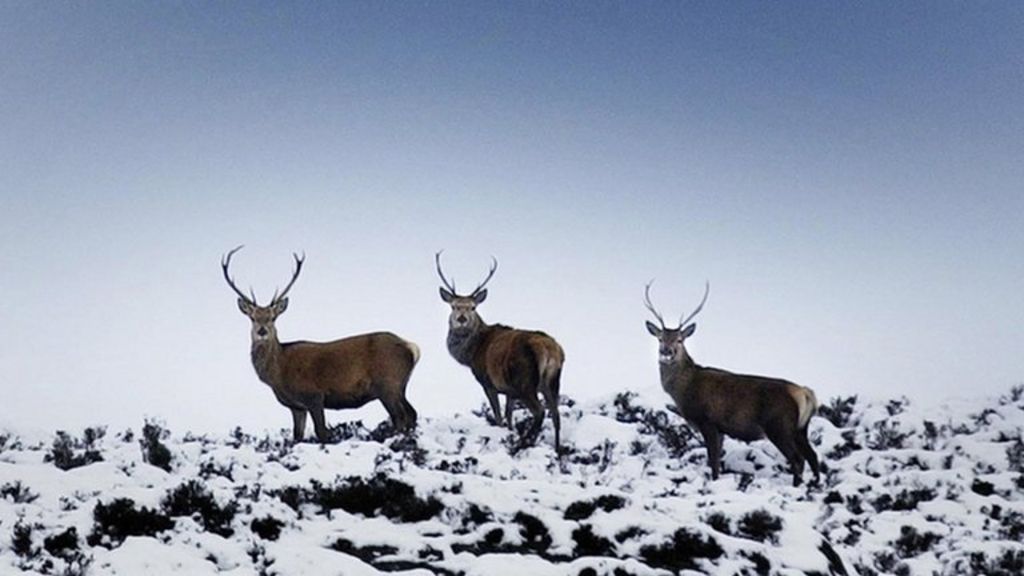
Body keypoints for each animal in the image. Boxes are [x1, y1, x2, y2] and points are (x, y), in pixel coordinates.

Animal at [221, 246, 419, 443]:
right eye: (253, 317)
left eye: (273, 318)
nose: (262, 331)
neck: (278, 374)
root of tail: (412, 348)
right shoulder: (296, 406)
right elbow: (297, 435)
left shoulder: (314, 396)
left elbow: (321, 432)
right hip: (400, 386)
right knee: (412, 413)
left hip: (388, 383)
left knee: (400, 416)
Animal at [435, 252, 565, 453]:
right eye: (453, 306)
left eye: (473, 307)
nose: (462, 319)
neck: (471, 354)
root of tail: (549, 350)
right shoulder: (509, 390)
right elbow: (509, 417)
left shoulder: (488, 382)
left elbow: (498, 417)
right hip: (552, 382)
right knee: (557, 416)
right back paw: (557, 449)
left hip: (526, 382)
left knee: (540, 412)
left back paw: (523, 443)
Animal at [643, 281, 821, 486]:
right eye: (660, 338)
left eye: (680, 340)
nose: (666, 352)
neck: (684, 391)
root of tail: (804, 393)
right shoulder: (720, 429)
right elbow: (716, 463)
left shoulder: (708, 421)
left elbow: (713, 462)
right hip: (800, 428)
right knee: (813, 456)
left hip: (779, 425)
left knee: (798, 459)